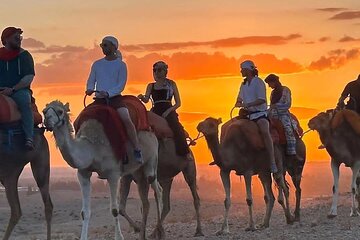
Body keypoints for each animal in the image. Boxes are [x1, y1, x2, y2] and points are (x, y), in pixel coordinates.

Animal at [43, 100, 164, 240]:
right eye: (44, 111)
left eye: (60, 111)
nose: (47, 119)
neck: (91, 148)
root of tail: (151, 131)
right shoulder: (83, 173)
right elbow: (85, 212)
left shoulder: (113, 174)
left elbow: (114, 210)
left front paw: (119, 237)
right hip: (136, 171)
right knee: (145, 198)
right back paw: (141, 231)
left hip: (151, 160)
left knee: (157, 189)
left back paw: (159, 231)